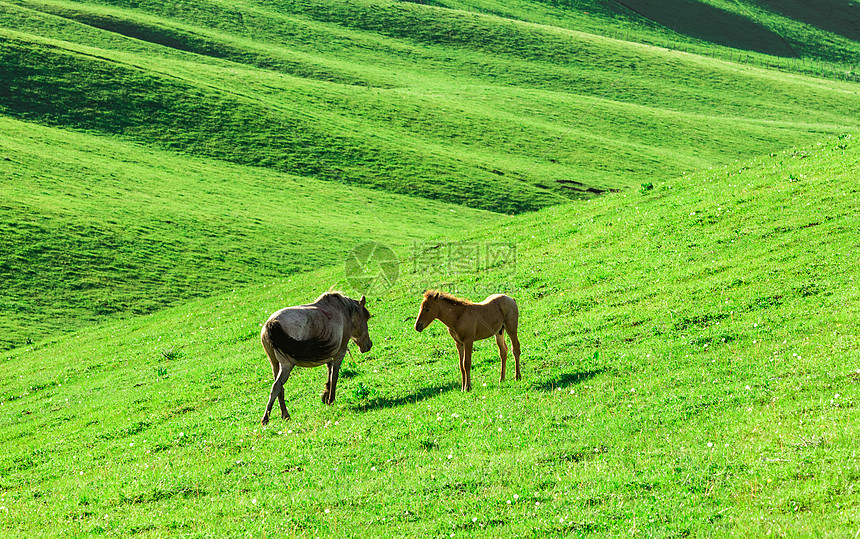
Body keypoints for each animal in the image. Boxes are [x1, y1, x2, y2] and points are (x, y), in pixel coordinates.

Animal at [260, 292, 372, 426]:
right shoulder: (340, 353)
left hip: (275, 364)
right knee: (276, 387)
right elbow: (334, 376)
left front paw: (325, 396)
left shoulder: (329, 354)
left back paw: (285, 415)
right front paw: (331, 399)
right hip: (286, 365)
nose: (369, 345)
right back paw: (266, 419)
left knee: (280, 389)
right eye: (366, 318)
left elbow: (329, 372)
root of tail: (271, 322)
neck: (343, 311)